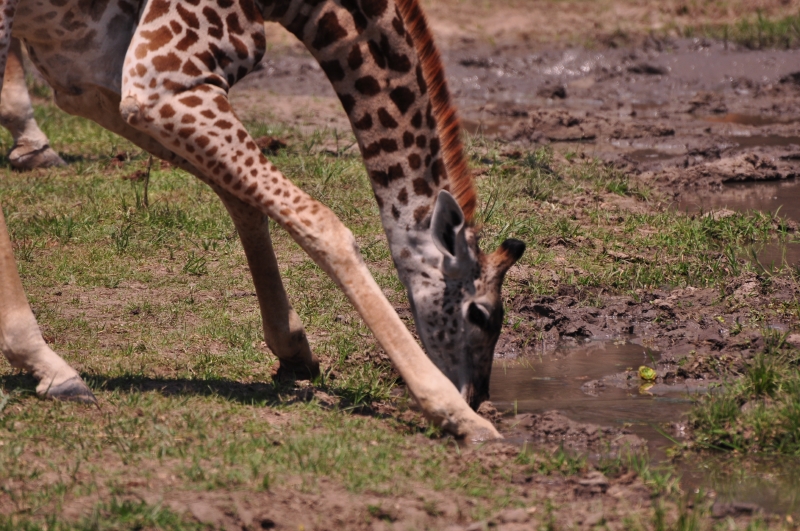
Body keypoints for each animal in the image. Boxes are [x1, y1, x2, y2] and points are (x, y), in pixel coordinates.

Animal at [0, 0, 525, 440]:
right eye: (481, 315)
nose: (476, 396)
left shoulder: (89, 70)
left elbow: (243, 199)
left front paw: (294, 347)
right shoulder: (164, 80)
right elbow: (324, 225)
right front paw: (453, 414)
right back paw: (50, 364)